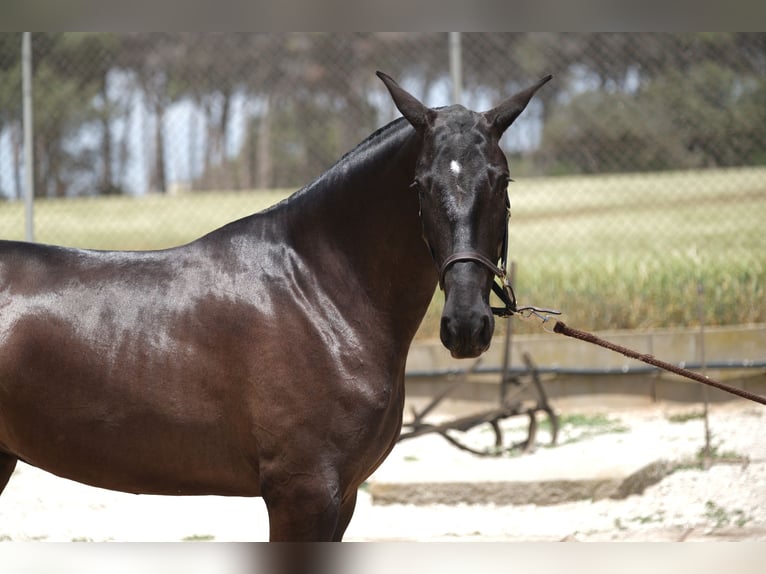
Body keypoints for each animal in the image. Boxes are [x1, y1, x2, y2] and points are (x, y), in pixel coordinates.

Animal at [0, 71, 552, 540]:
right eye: (421, 185)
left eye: (501, 181)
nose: (466, 325)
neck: (318, 293)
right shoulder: (302, 494)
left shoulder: (342, 497)